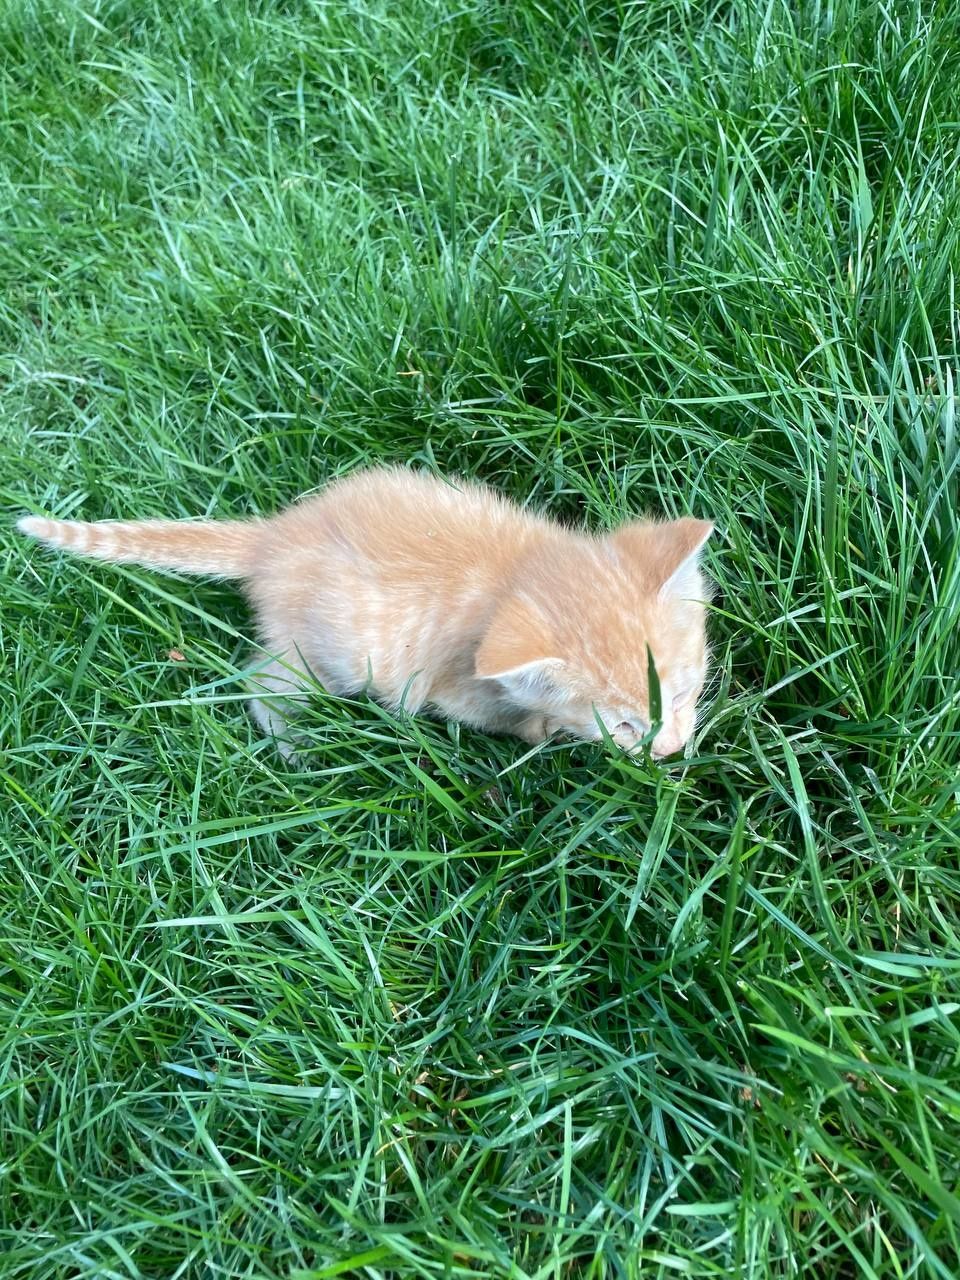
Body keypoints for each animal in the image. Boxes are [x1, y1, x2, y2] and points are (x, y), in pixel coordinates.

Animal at [18, 465, 716, 752]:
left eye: (683, 694)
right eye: (622, 724)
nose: (671, 750)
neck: (515, 572)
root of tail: (274, 537)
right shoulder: (454, 685)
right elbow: (493, 716)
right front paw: (541, 731)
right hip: (327, 652)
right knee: (263, 683)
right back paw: (294, 744)